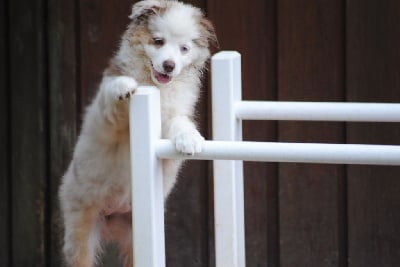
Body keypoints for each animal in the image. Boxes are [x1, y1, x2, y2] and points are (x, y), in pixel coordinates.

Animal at [57, 1, 217, 266]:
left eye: (184, 49)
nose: (169, 66)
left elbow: (180, 123)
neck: (157, 86)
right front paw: (125, 85)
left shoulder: (172, 114)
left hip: (135, 237)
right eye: (158, 41)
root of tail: (113, 216)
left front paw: (190, 139)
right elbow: (114, 93)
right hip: (81, 226)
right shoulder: (110, 116)